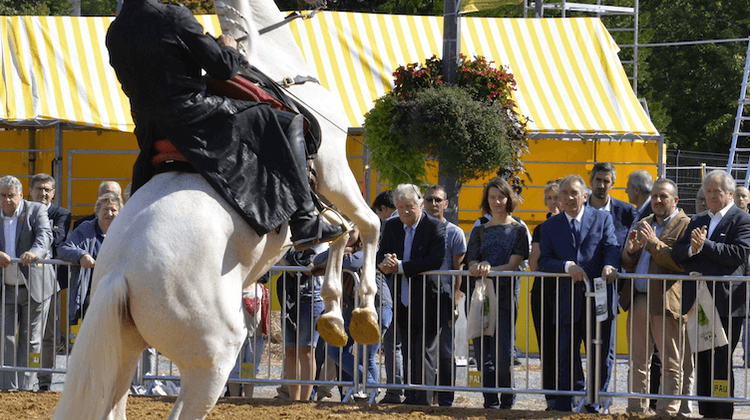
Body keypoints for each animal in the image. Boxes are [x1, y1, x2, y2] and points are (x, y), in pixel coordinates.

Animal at [53, 1, 382, 418]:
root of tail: (120, 274)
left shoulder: (325, 194)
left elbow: (341, 235)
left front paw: (333, 316)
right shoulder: (334, 172)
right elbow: (366, 227)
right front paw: (364, 313)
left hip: (122, 355)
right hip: (213, 357)